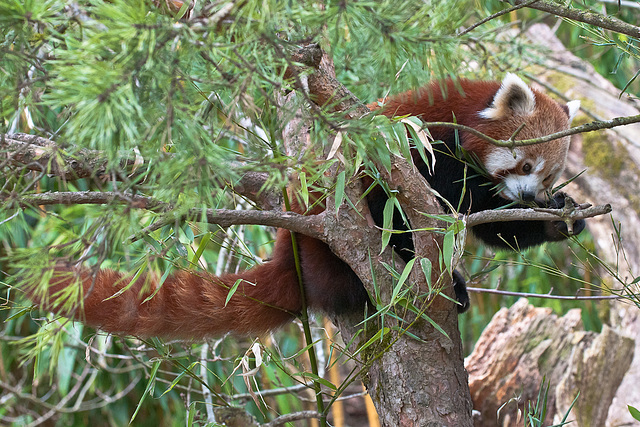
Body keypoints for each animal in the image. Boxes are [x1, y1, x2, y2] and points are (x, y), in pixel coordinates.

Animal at [28, 74, 584, 342]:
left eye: (547, 174)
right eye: (526, 162)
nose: (533, 196)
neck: (462, 114)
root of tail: (288, 254)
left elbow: (492, 226)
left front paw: (563, 217)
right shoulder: (418, 143)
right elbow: (417, 203)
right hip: (327, 246)